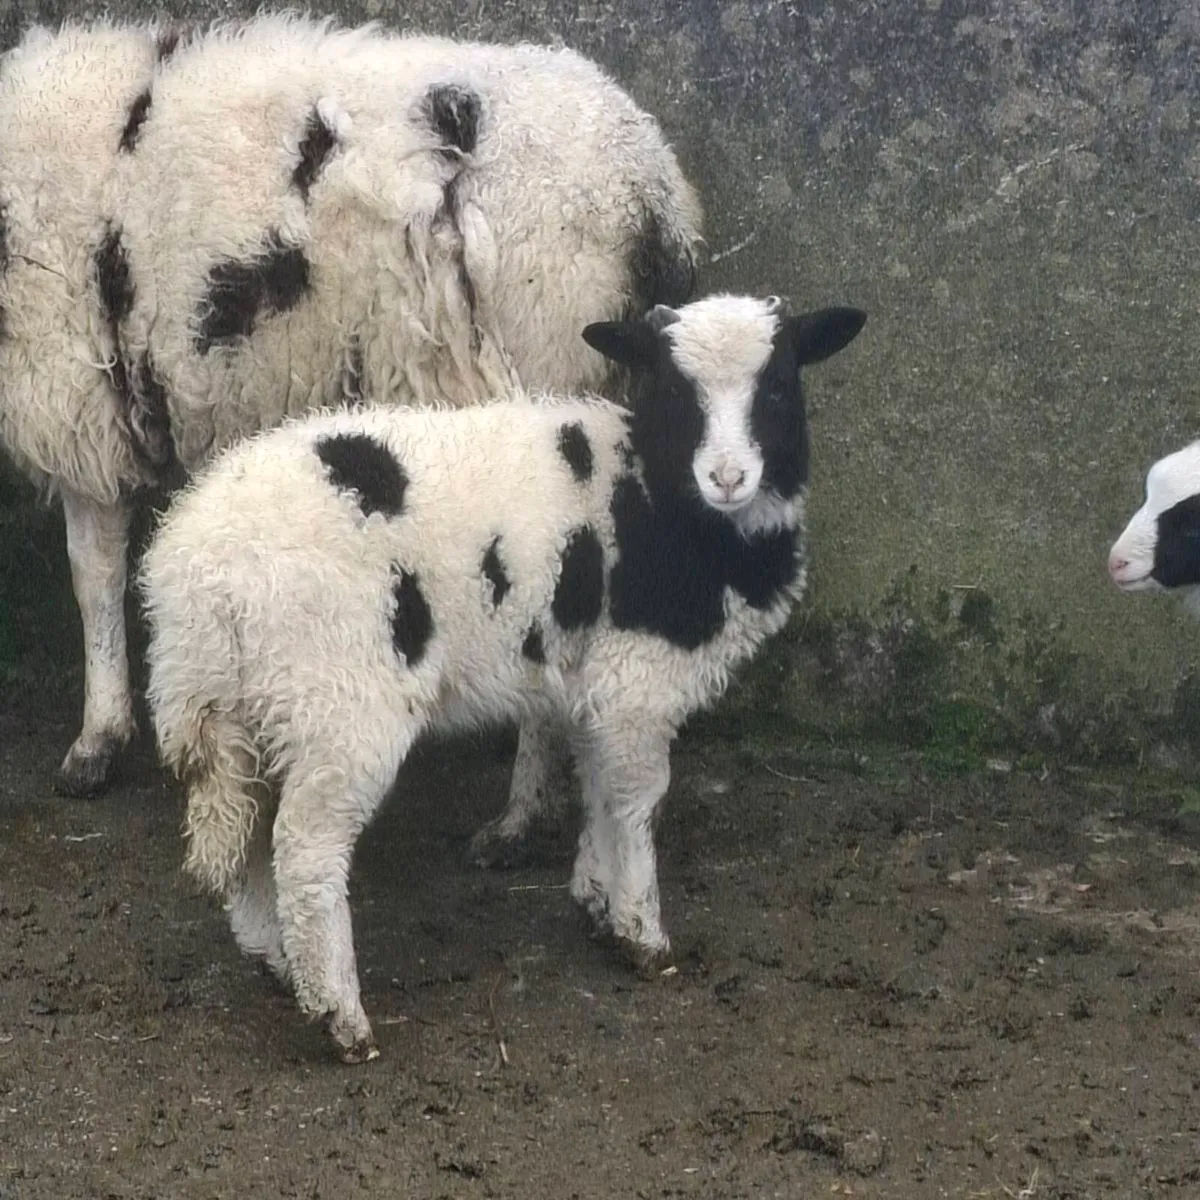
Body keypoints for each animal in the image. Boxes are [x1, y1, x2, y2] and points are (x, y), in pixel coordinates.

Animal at [139, 292, 867, 1061]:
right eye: (675, 393)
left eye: (779, 388)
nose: (728, 478)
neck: (662, 501)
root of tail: (196, 571)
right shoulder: (635, 680)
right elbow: (637, 803)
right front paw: (642, 933)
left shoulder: (593, 683)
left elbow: (598, 788)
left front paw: (595, 897)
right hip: (338, 704)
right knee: (306, 852)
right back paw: (342, 1017)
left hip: (238, 706)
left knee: (247, 830)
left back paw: (278, 961)